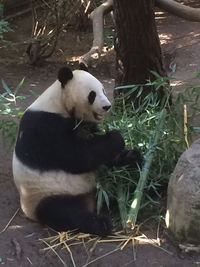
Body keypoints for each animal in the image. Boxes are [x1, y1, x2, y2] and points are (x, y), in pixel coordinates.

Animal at [12, 67, 142, 237]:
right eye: (92, 94)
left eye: (103, 90)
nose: (107, 106)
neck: (58, 103)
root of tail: (91, 200)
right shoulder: (44, 126)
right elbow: (77, 156)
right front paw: (116, 136)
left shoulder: (85, 125)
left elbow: (101, 156)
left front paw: (132, 155)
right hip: (44, 194)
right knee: (64, 211)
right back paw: (100, 224)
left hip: (101, 183)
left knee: (117, 184)